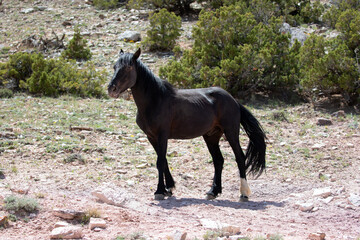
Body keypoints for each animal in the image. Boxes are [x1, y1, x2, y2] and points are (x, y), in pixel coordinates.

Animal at [108, 48, 266, 201]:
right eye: (115, 66)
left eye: (129, 67)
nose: (111, 89)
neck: (156, 100)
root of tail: (233, 100)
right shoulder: (151, 136)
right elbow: (164, 160)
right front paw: (169, 188)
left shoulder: (162, 135)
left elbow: (160, 162)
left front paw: (159, 191)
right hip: (211, 136)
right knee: (218, 160)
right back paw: (213, 192)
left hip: (231, 132)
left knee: (240, 157)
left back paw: (244, 193)